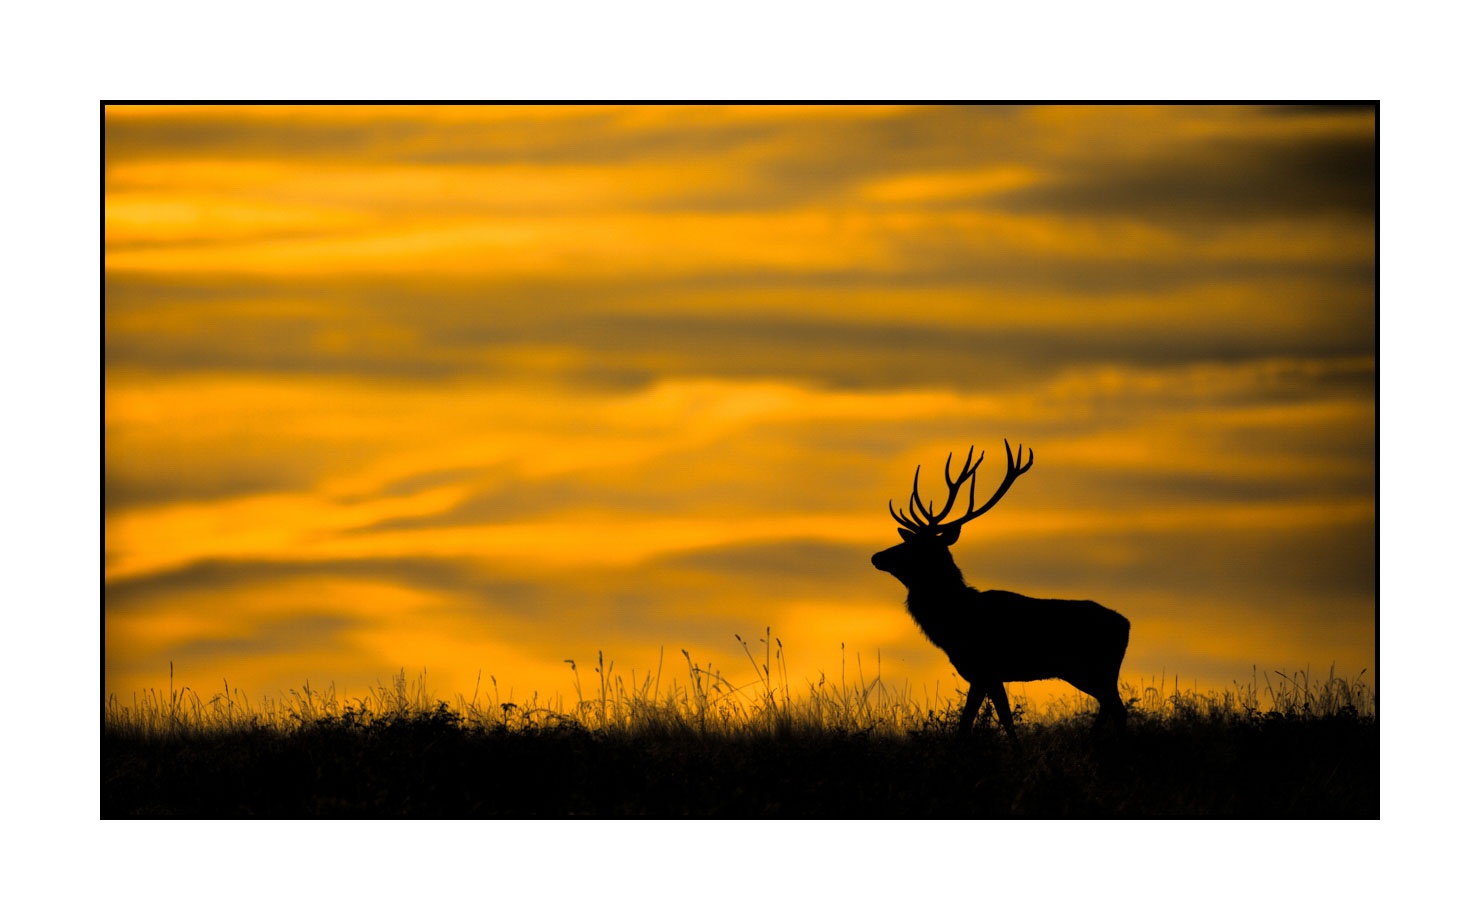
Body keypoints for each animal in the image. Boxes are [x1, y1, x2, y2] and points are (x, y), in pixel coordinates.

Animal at [871, 440, 1130, 742]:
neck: (952, 624)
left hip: (1091, 667)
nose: (877, 556)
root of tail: (1126, 625)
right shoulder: (986, 675)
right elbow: (997, 718)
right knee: (1109, 705)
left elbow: (978, 722)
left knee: (1117, 707)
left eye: (914, 547)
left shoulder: (985, 669)